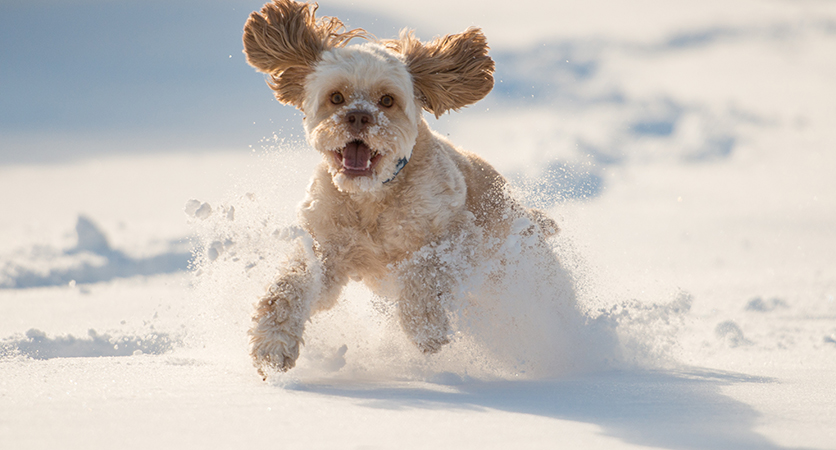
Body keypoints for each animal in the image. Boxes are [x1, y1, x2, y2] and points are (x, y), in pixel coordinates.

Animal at [242, 0, 556, 378]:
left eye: (387, 100)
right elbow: (291, 285)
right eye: (336, 97)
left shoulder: (458, 236)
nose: (358, 116)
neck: (373, 199)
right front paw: (273, 345)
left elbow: (423, 273)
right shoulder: (326, 246)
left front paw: (426, 328)